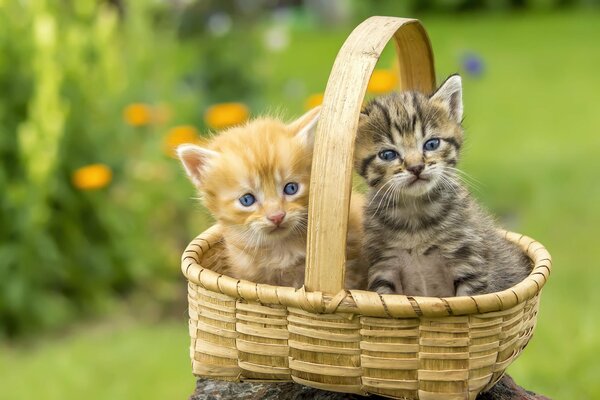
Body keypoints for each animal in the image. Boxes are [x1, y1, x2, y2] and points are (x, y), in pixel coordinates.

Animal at [356, 75, 528, 296]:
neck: (414, 217)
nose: (416, 167)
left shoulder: (469, 264)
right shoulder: (384, 268)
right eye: (387, 155)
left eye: (432, 144)